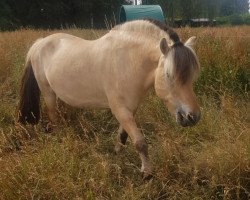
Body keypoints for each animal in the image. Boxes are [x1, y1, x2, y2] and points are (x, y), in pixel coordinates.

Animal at [18, 19, 201, 179]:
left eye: (192, 75)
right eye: (169, 75)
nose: (193, 117)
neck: (127, 61)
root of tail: (40, 43)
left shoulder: (130, 108)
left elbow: (123, 135)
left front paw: (118, 152)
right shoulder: (120, 109)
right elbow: (140, 142)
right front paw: (147, 173)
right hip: (47, 92)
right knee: (53, 115)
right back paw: (59, 138)